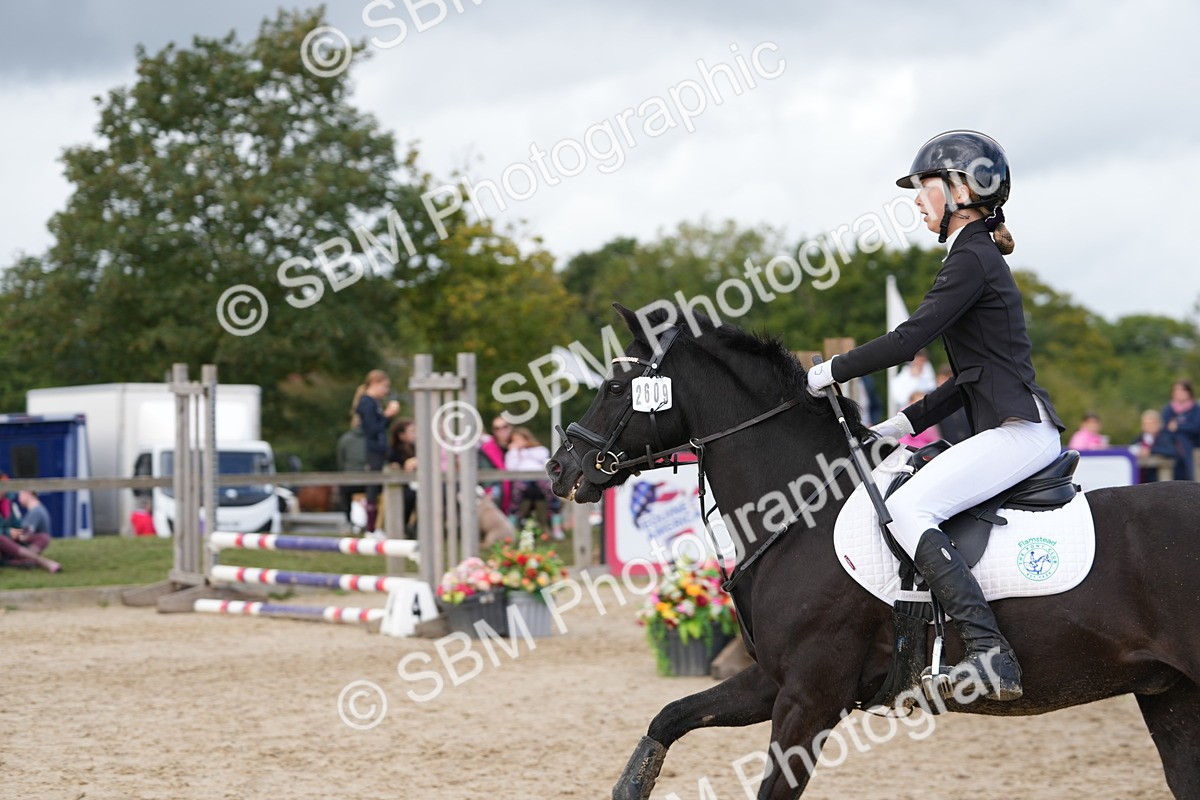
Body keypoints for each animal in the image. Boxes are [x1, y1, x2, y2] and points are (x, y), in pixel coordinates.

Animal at [546, 303, 1200, 799]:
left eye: (613, 387)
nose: (560, 470)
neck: (802, 514)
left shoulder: (811, 698)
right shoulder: (775, 681)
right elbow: (670, 716)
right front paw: (632, 783)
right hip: (1169, 694)